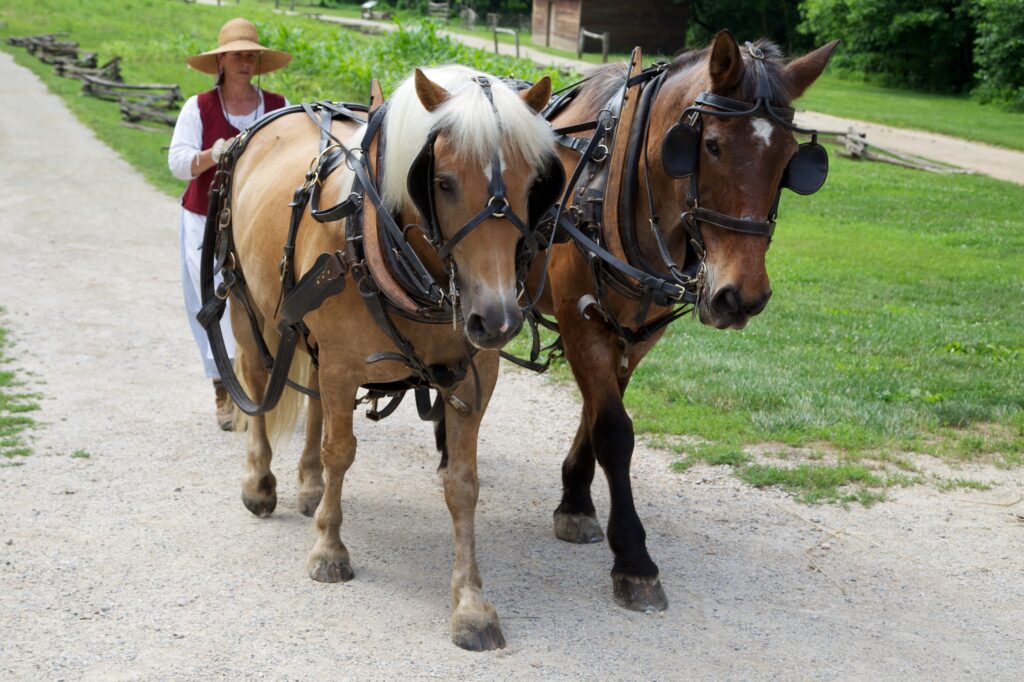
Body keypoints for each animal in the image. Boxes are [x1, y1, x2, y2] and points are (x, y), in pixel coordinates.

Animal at [208, 65, 561, 650]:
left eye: (533, 182)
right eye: (442, 182)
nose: (498, 318)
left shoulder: (472, 378)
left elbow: (462, 484)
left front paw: (470, 603)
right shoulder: (343, 360)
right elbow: (341, 452)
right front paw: (329, 549)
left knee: (315, 403)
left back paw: (309, 486)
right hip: (246, 302)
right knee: (259, 382)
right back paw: (261, 483)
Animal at [527, 31, 839, 611]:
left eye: (790, 160)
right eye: (710, 145)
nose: (742, 297)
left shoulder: (635, 333)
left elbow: (596, 412)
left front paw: (576, 499)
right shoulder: (581, 320)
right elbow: (613, 430)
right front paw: (634, 560)